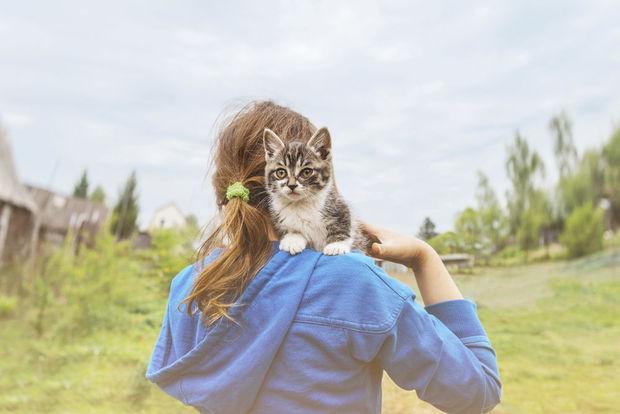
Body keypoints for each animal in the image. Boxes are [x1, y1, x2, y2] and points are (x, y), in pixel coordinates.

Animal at [262, 127, 368, 256]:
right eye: (281, 172)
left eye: (306, 172)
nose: (292, 185)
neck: (301, 204)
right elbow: (292, 229)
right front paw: (292, 240)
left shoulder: (338, 205)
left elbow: (344, 223)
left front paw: (336, 245)